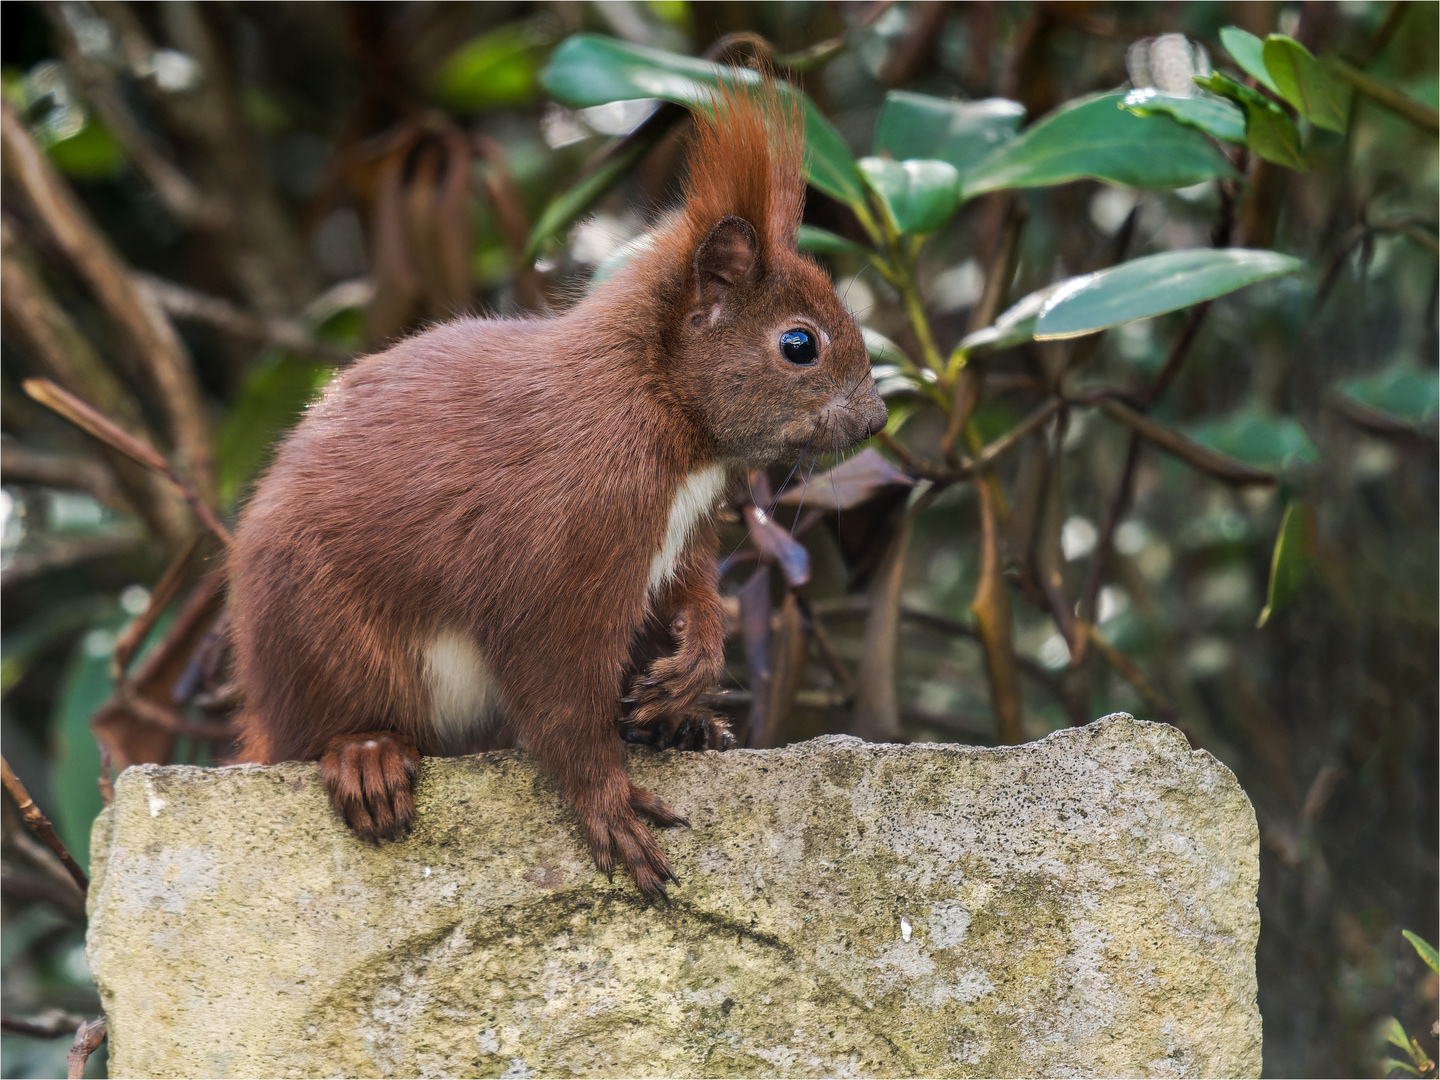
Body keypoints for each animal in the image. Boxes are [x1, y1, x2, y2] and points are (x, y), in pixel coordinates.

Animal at [230, 80, 881, 898]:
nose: (878, 417)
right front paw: (607, 801)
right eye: (800, 345)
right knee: (324, 727)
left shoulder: (679, 534)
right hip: (328, 638)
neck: (662, 410)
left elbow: (692, 591)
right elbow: (559, 690)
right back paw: (364, 752)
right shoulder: (566, 543)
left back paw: (681, 724)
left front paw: (694, 667)